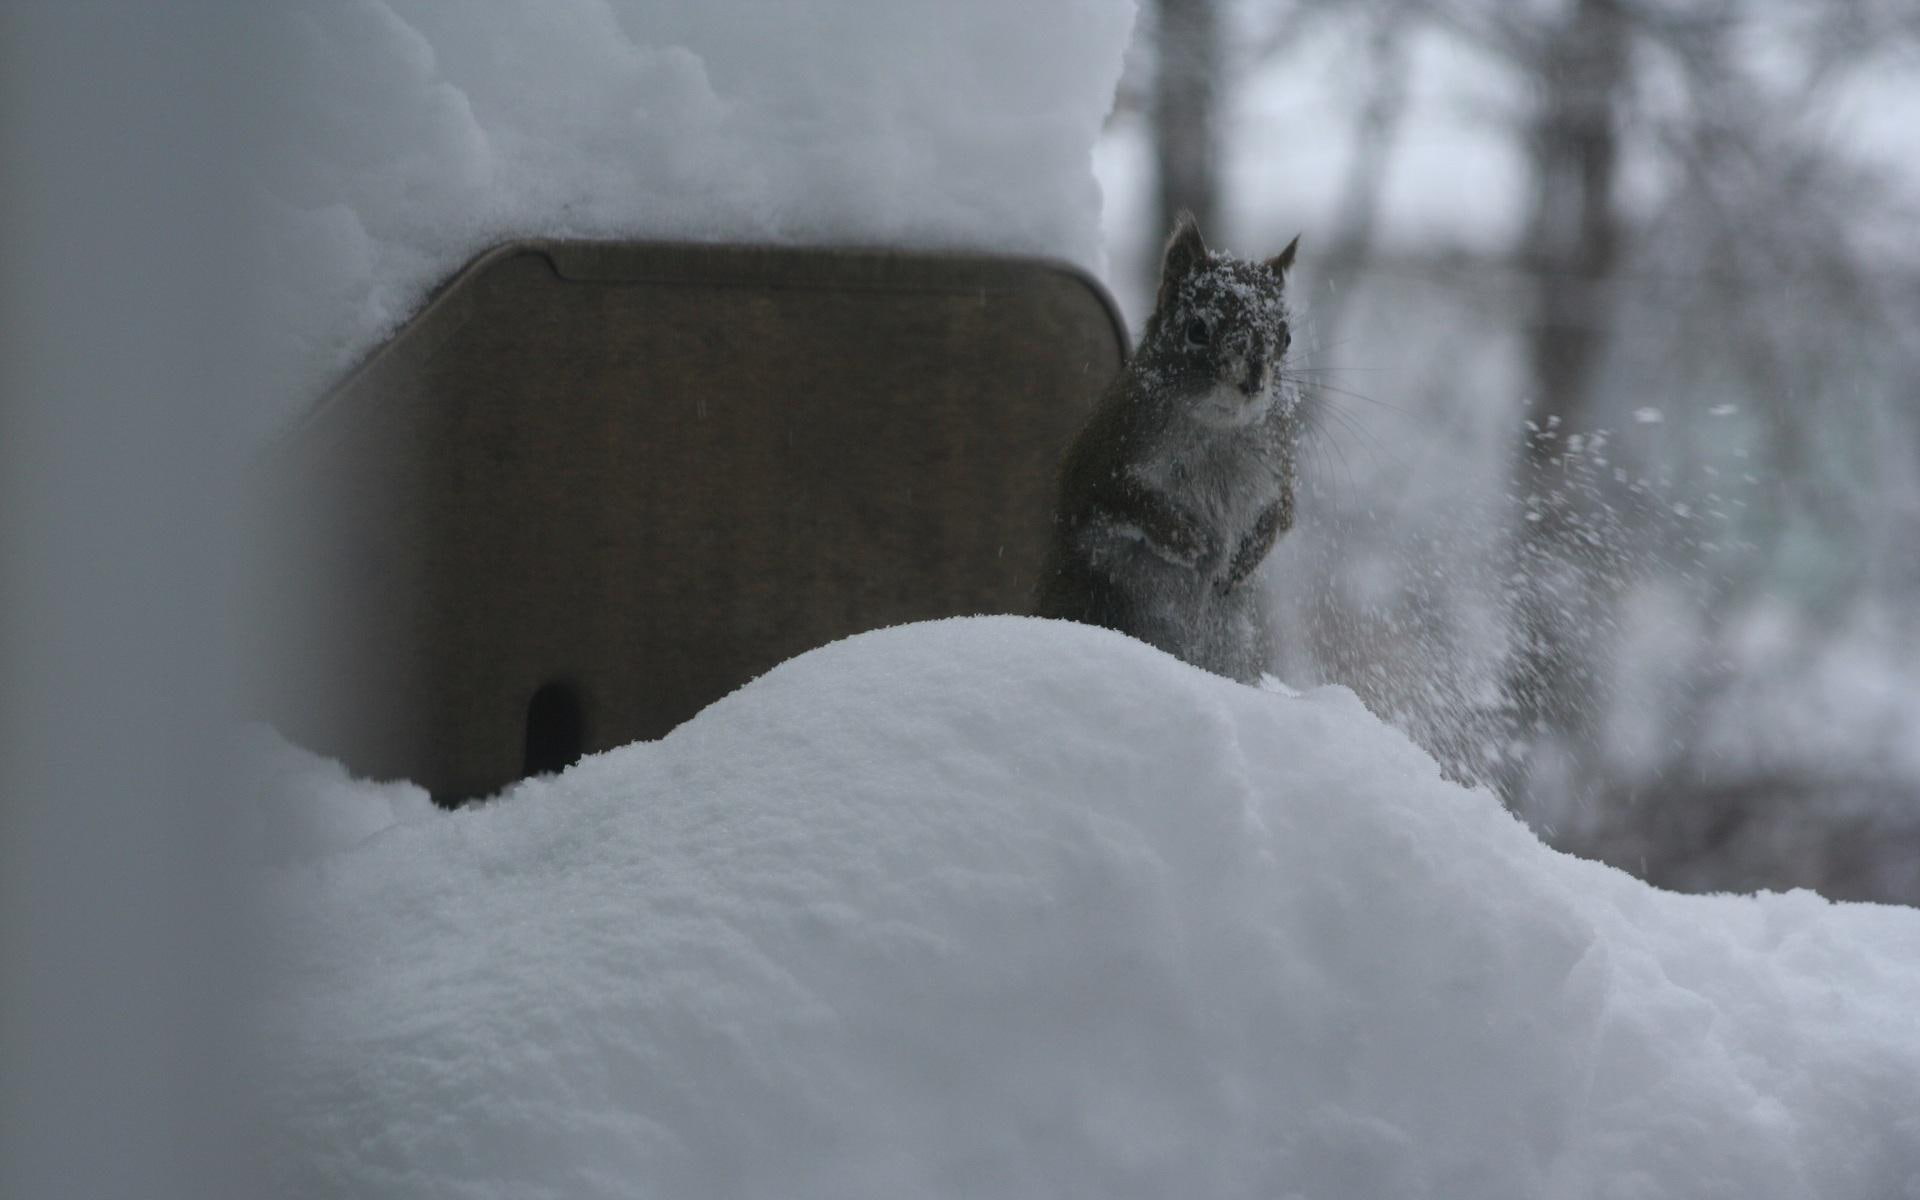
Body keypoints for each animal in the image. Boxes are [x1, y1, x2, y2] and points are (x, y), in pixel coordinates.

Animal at [1034, 214, 1302, 684]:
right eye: (1197, 330)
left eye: (1286, 337)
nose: (1253, 382)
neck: (1218, 432)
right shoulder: (1102, 464)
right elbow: (1124, 503)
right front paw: (1193, 542)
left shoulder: (1278, 468)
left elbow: (1283, 512)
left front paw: (1243, 558)